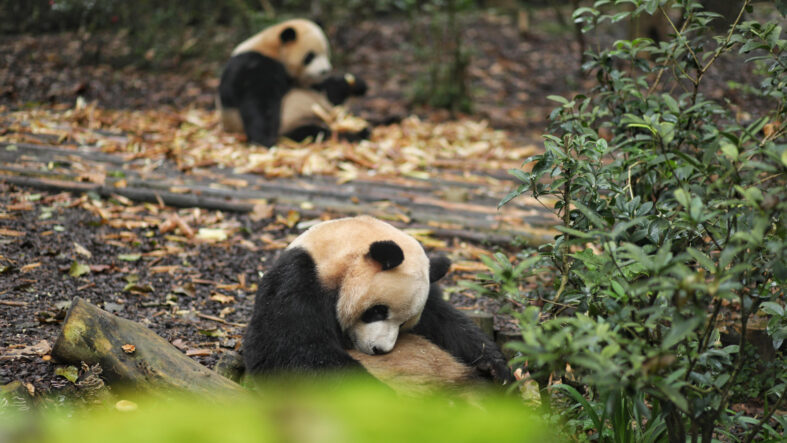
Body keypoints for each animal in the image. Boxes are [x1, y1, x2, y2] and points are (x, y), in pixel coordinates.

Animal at [218, 19, 368, 146]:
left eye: (326, 52)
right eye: (310, 56)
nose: (324, 71)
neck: (271, 47)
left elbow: (328, 91)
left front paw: (357, 84)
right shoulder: (255, 63)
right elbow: (259, 99)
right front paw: (264, 140)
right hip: (293, 122)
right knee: (313, 132)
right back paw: (355, 135)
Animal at [243, 216, 513, 392]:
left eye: (405, 323)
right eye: (378, 311)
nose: (380, 350)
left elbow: (446, 322)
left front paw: (496, 368)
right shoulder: (298, 281)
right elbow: (291, 352)